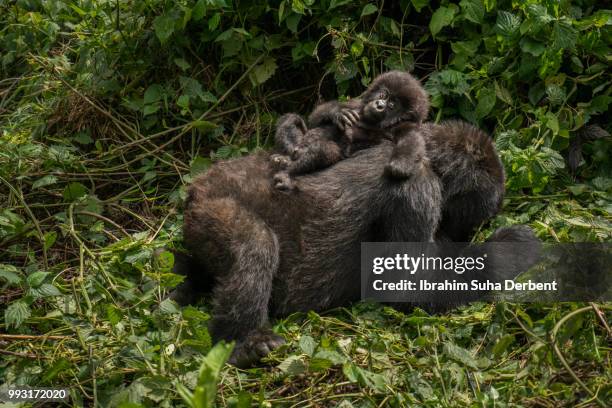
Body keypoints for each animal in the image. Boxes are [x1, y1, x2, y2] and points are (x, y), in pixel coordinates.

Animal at [270, 69, 428, 190]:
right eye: (383, 95)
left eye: (392, 106)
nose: (379, 104)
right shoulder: (356, 103)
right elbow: (315, 119)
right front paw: (337, 112)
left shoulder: (406, 125)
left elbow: (411, 140)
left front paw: (400, 164)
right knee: (292, 120)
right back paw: (285, 157)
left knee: (325, 150)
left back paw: (288, 173)